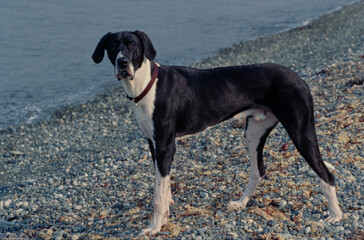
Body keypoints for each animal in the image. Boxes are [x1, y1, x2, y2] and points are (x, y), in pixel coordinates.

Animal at [92, 31, 342, 235]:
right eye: (113, 46)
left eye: (132, 44)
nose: (122, 63)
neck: (147, 85)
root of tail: (299, 78)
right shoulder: (153, 145)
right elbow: (163, 185)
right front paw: (165, 216)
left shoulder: (165, 146)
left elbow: (157, 194)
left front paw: (154, 227)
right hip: (254, 131)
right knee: (257, 170)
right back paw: (241, 203)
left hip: (301, 132)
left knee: (325, 174)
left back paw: (335, 215)